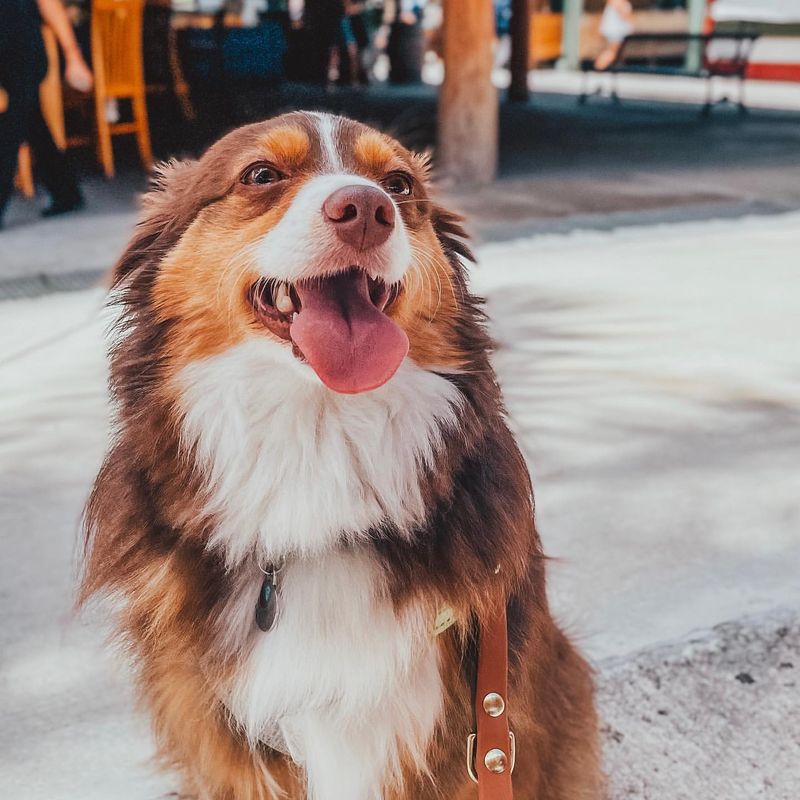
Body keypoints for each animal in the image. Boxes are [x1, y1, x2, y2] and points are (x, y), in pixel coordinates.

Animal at [81, 112, 604, 800]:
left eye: (400, 184)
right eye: (261, 175)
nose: (366, 210)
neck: (317, 436)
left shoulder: (469, 730)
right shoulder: (223, 741)